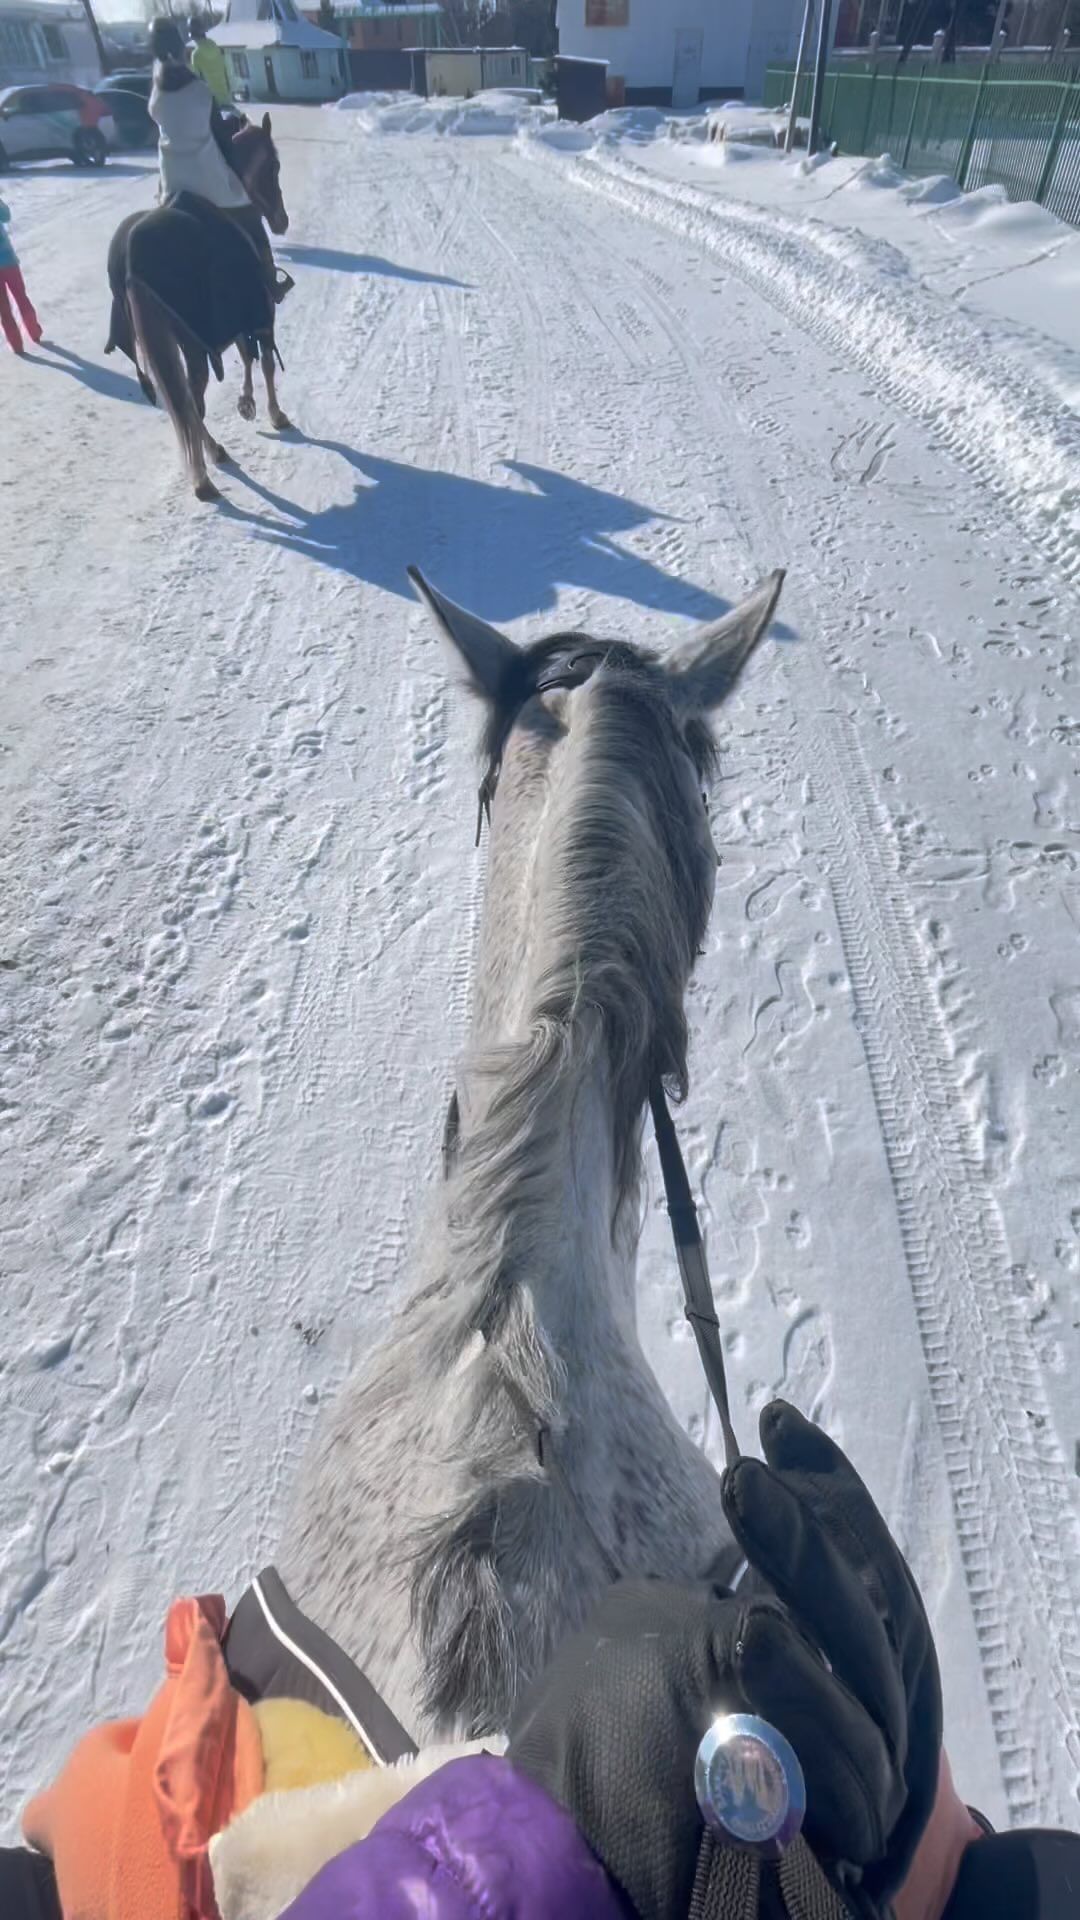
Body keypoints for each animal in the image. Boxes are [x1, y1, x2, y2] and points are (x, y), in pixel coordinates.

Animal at [105, 113, 291, 501]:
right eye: (274, 165)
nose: (282, 220)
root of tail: (131, 259)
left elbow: (247, 355)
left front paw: (247, 403)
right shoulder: (261, 311)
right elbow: (265, 360)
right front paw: (273, 412)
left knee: (185, 404)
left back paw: (211, 458)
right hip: (190, 343)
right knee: (191, 402)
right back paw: (205, 472)